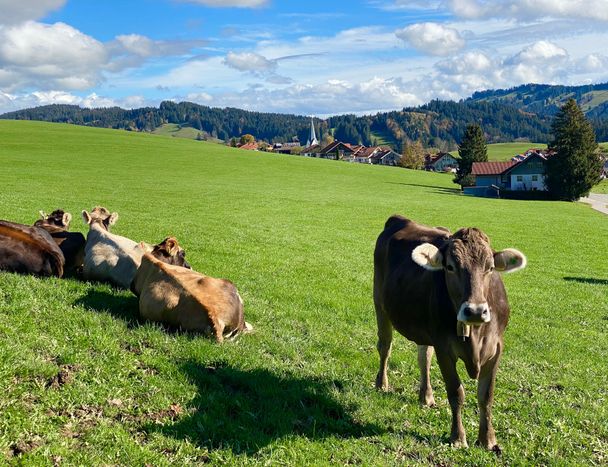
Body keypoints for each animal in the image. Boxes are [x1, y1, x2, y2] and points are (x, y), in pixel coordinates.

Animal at [372, 217, 524, 454]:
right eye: (450, 267)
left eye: (490, 267)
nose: (476, 311)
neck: (475, 334)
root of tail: (400, 219)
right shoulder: (444, 348)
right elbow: (456, 393)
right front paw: (458, 437)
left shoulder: (497, 347)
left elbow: (486, 396)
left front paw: (488, 439)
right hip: (380, 303)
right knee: (385, 347)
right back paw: (382, 383)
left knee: (423, 357)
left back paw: (426, 395)